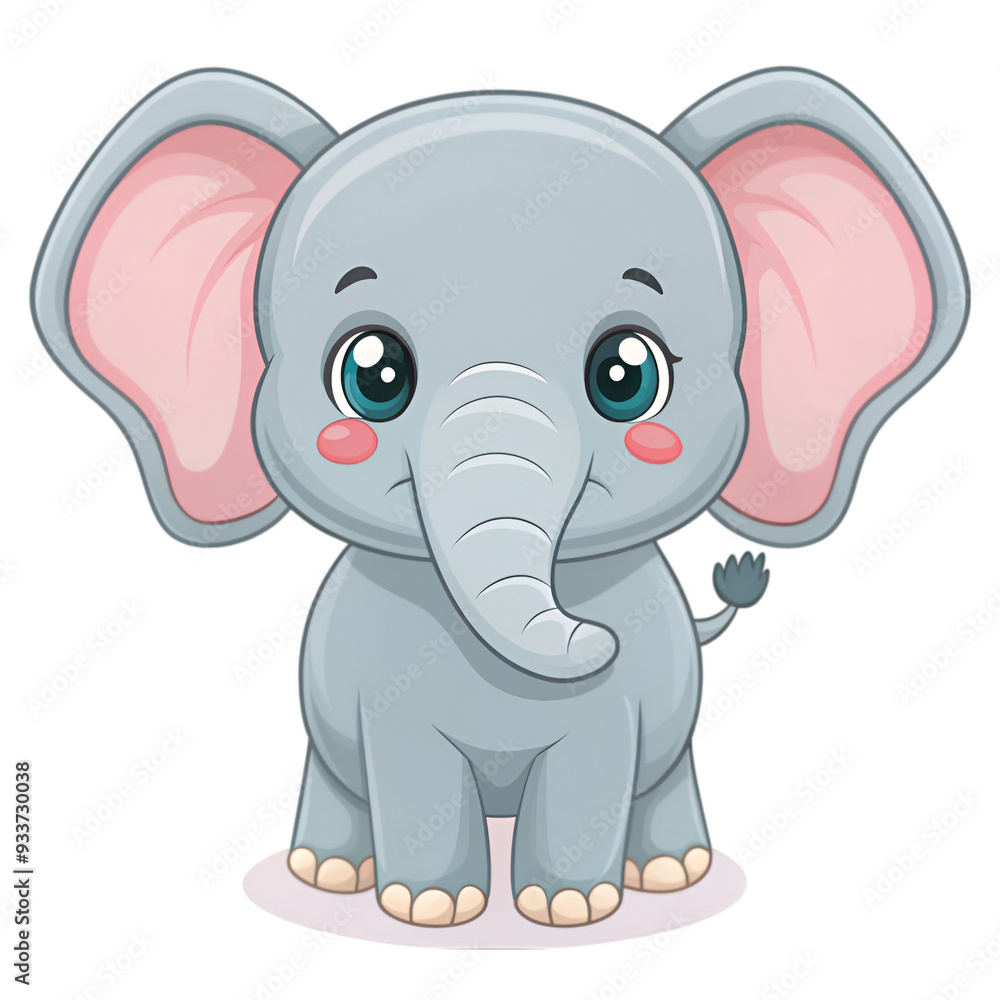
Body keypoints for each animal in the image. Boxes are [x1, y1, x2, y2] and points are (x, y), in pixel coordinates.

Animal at [32, 66, 968, 928]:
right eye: (372, 375)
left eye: (627, 376)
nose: (595, 638)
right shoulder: (378, 685)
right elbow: (408, 754)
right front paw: (430, 909)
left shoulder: (626, 701)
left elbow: (598, 747)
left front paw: (569, 909)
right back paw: (328, 874)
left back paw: (670, 873)